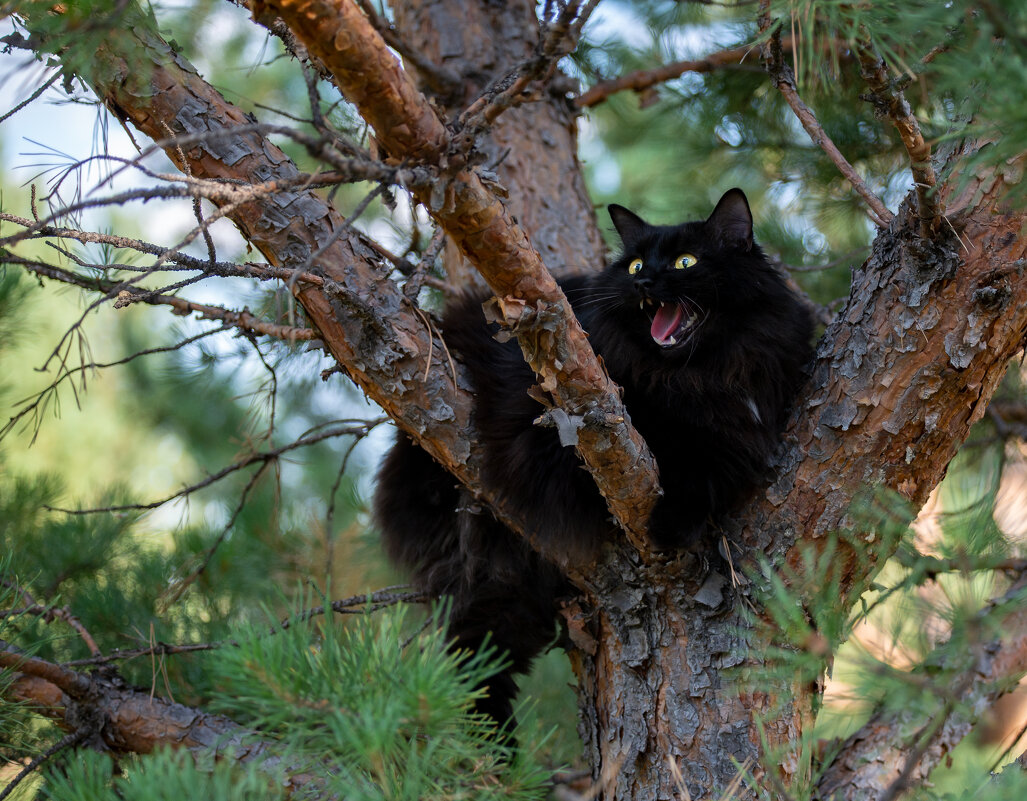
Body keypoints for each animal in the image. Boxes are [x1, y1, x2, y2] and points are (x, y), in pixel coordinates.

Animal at [373, 188, 813, 727]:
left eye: (686, 262)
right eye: (636, 265)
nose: (644, 281)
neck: (703, 373)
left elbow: (720, 464)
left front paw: (678, 518)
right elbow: (685, 455)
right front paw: (670, 524)